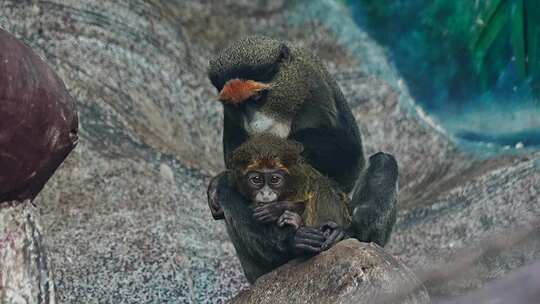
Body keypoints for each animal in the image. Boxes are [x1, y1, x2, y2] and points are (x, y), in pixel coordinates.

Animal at [207, 35, 396, 249]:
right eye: (235, 105)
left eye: (257, 96)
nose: (254, 125)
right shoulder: (230, 119)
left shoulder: (316, 89)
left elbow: (348, 152)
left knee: (384, 162)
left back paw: (350, 232)